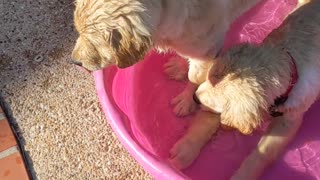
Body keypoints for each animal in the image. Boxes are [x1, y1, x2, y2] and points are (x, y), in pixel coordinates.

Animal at [71, 0, 262, 116]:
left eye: (94, 44)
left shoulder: (207, 48)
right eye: (77, 30)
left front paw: (186, 100)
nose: (74, 61)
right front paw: (180, 66)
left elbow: (194, 77)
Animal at [169, 0, 318, 179]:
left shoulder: (289, 119)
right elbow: (207, 121)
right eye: (213, 76)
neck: (289, 62)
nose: (194, 98)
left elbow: (262, 153)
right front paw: (186, 149)